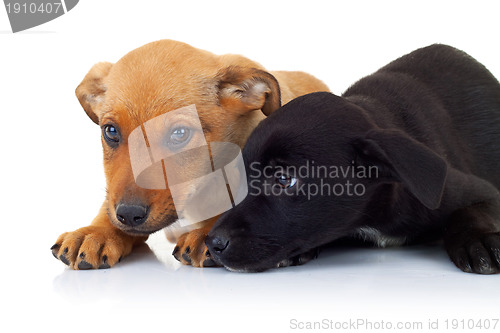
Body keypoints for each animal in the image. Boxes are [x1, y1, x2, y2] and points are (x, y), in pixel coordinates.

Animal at [50, 39, 328, 268]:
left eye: (180, 134)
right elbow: (108, 209)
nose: (129, 214)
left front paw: (207, 233)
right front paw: (95, 232)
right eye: (110, 131)